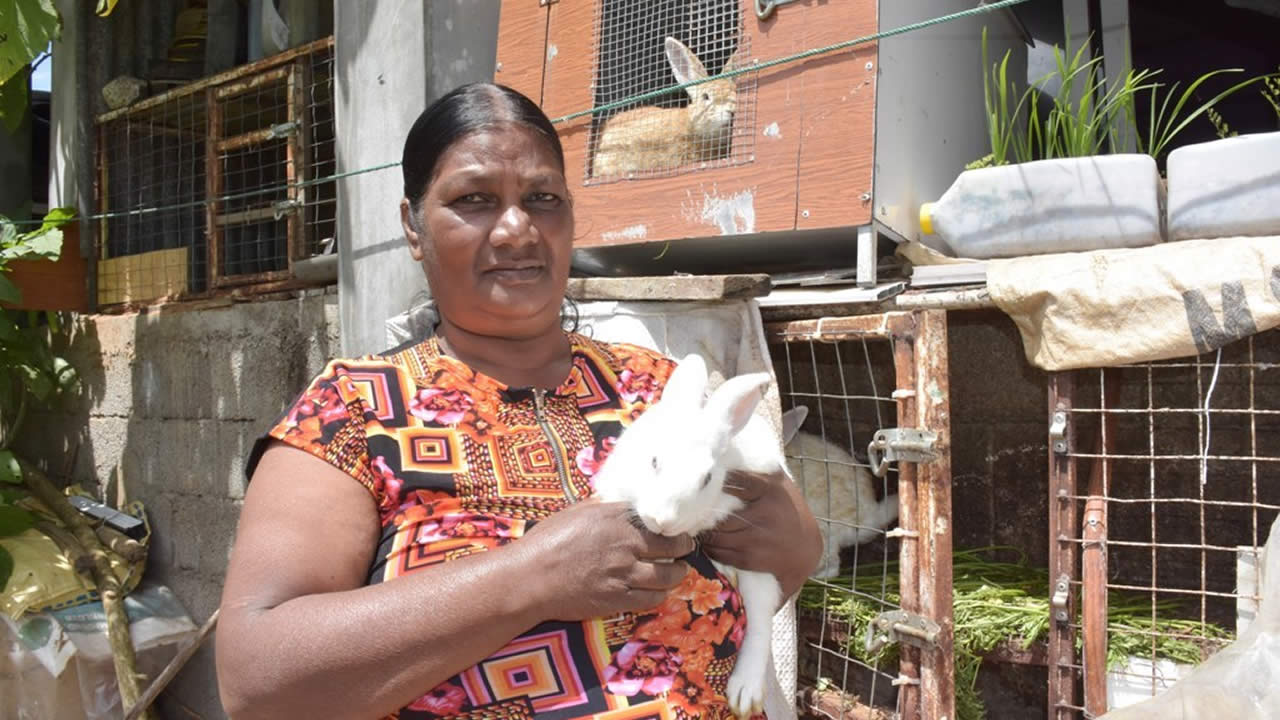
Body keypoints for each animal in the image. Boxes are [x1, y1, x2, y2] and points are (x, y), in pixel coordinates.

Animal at [593, 353, 783, 717]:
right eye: (654, 461)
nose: (662, 520)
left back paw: (745, 692)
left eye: (707, 479)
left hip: (762, 576)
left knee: (760, 622)